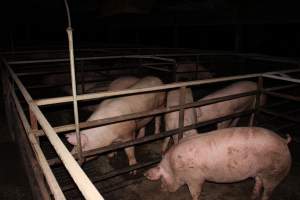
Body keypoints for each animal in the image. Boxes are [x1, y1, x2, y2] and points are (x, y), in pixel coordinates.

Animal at [145, 127, 290, 200]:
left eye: (161, 178)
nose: (162, 189)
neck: (174, 167)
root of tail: (284, 141)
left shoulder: (194, 178)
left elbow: (195, 193)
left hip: (275, 172)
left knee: (268, 191)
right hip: (260, 172)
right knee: (258, 182)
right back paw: (252, 196)